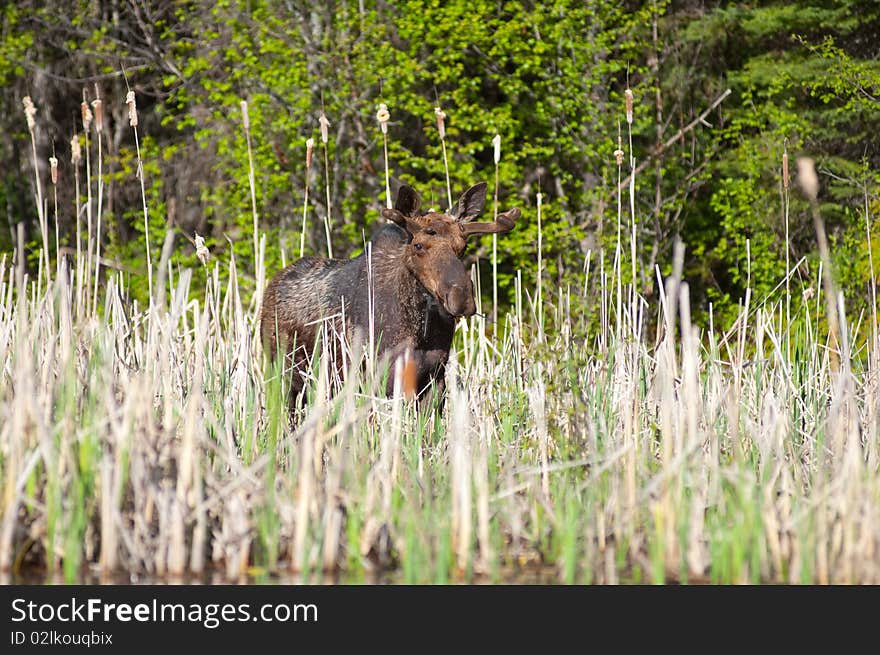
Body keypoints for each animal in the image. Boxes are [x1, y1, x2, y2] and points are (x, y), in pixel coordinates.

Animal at [262, 182, 524, 408]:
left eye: (463, 247)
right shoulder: (375, 378)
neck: (419, 327)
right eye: (418, 246)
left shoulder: (434, 379)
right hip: (284, 377)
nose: (461, 299)